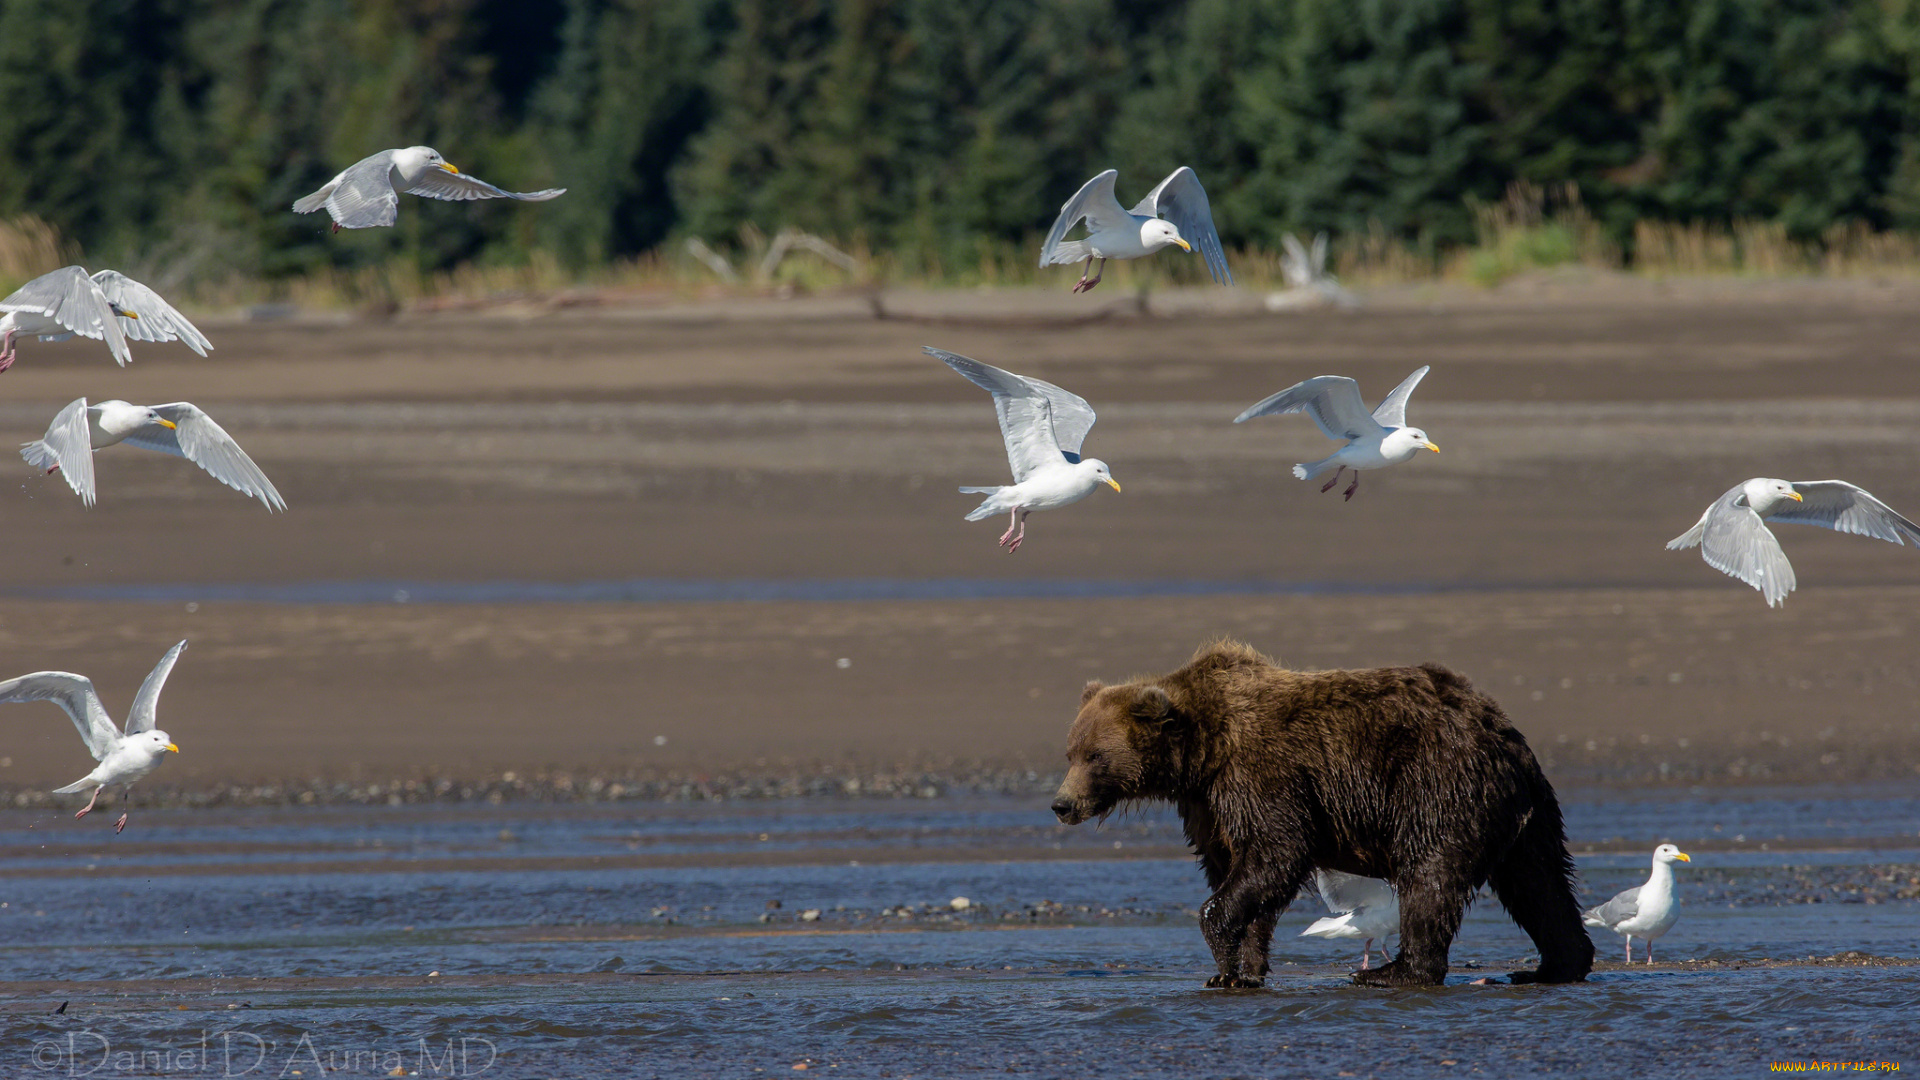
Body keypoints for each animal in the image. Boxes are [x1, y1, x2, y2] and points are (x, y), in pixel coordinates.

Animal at [1052, 638, 1589, 983]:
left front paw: (1222, 950)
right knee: (1539, 881)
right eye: (1070, 752)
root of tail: (1504, 733)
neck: (1203, 754)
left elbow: (1277, 852)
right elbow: (1238, 870)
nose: (1062, 804)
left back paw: (1394, 972)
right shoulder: (1208, 806)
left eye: (1095, 756)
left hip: (1436, 784)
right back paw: (1556, 964)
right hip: (1526, 811)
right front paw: (1242, 968)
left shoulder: (1263, 775)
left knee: (1430, 877)